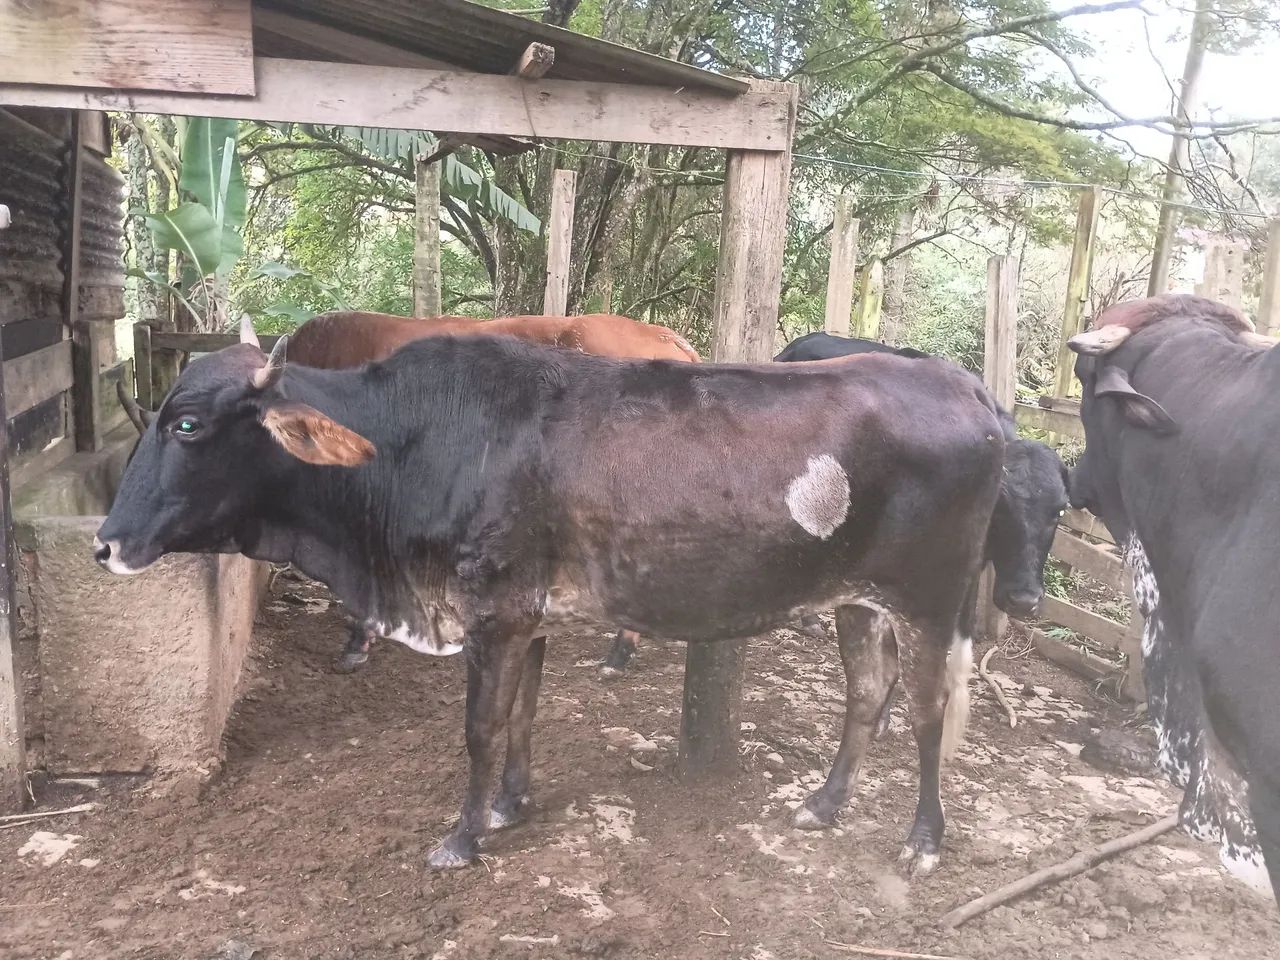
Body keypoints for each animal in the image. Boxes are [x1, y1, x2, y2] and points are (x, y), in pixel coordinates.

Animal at [96, 319, 1007, 872]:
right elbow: (523, 716)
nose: (103, 541)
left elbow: (480, 727)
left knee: (926, 712)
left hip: (934, 599)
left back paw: (924, 838)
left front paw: (462, 837)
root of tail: (967, 387)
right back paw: (824, 803)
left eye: (187, 425)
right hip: (857, 598)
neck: (410, 444)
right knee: (866, 694)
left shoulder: (493, 612)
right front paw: (509, 806)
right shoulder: (527, 617)